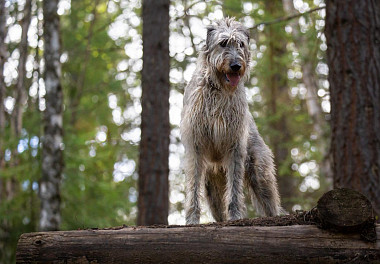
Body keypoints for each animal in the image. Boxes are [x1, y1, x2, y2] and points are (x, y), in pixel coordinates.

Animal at [181, 17, 282, 224]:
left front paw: (235, 216)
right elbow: (193, 187)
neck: (219, 89)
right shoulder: (195, 145)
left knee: (271, 203)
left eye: (241, 44)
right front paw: (192, 219)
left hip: (260, 172)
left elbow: (234, 189)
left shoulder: (235, 145)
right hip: (212, 188)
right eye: (223, 43)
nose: (236, 65)